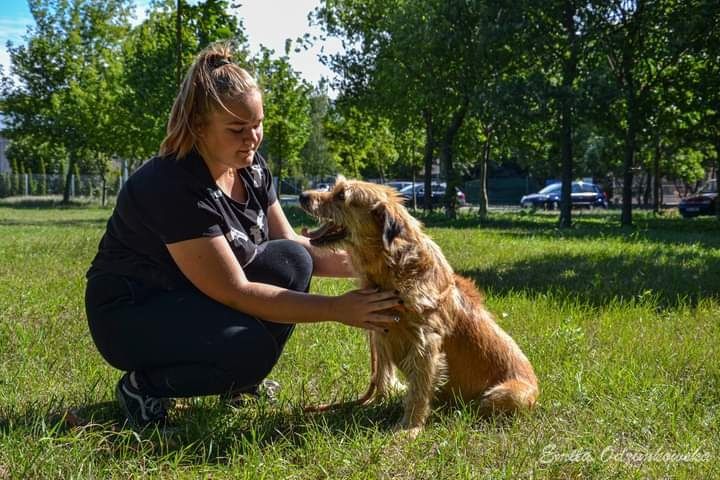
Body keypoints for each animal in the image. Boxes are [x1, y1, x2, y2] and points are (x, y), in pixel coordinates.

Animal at [296, 177, 536, 438]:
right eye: (335, 186)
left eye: (341, 195)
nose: (302, 196)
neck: (393, 268)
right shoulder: (380, 335)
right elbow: (382, 375)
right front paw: (377, 402)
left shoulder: (426, 344)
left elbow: (419, 390)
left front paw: (409, 427)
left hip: (506, 395)